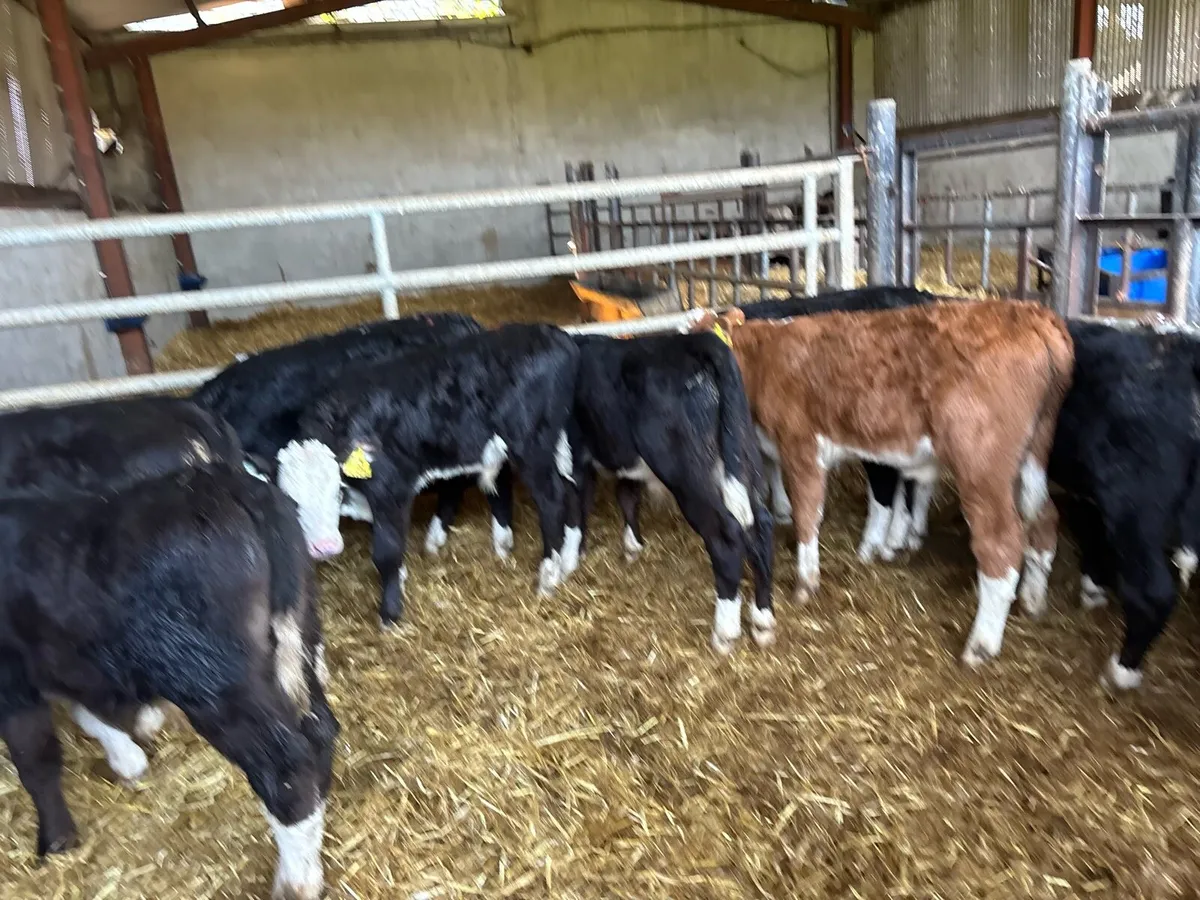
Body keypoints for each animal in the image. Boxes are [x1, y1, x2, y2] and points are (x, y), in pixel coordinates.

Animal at [0, 466, 337, 900]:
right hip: (300, 636)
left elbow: (35, 758)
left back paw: (296, 880)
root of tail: (222, 485)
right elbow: (87, 712)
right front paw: (127, 758)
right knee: (320, 729)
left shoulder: (13, 679)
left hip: (214, 682)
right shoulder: (64, 657)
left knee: (286, 763)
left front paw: (56, 840)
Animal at [282, 324, 579, 627]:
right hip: (556, 444)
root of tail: (552, 333)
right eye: (292, 502)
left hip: (532, 446)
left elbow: (387, 551)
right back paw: (564, 562)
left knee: (552, 499)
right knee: (571, 487)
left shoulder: (391, 489)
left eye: (336, 490)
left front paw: (389, 615)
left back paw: (548, 576)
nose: (324, 547)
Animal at [562, 330, 775, 653]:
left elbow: (578, 505)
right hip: (740, 457)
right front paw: (632, 546)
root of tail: (690, 342)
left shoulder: (574, 455)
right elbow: (626, 496)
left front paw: (570, 558)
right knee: (760, 526)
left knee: (726, 538)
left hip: (688, 474)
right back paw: (763, 620)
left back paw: (724, 633)